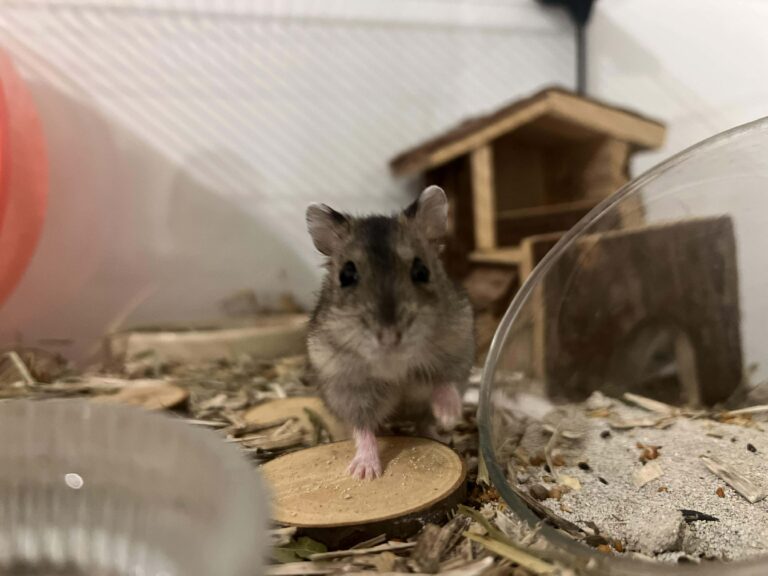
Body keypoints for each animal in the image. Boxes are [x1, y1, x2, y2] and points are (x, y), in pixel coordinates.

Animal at [305, 186, 474, 479]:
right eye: (346, 275)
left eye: (422, 271)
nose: (389, 338)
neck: (394, 362)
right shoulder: (348, 386)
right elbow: (363, 427)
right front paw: (364, 474)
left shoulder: (458, 347)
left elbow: (445, 382)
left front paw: (449, 416)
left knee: (423, 422)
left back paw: (440, 434)